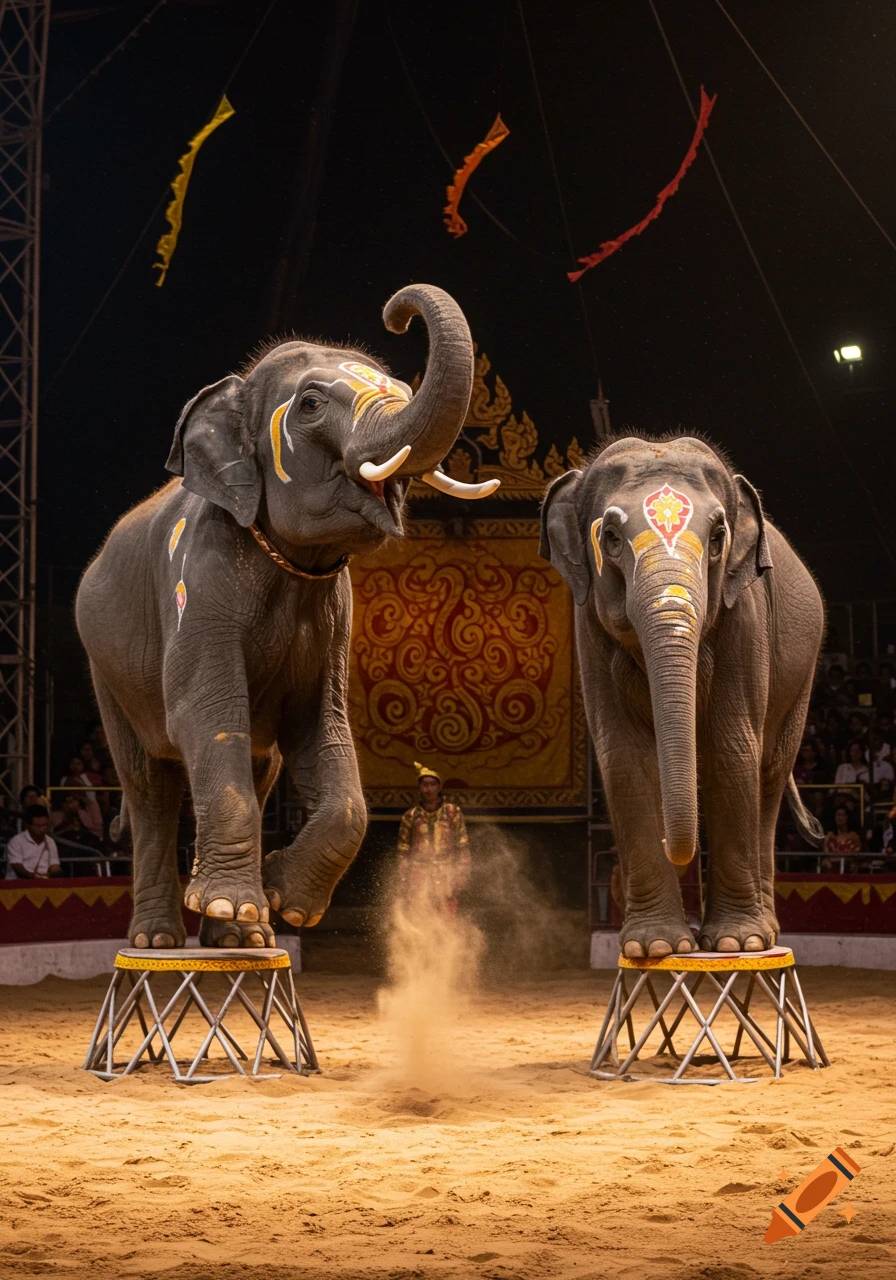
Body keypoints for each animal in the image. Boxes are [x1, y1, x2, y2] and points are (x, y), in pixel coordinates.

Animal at [76, 284, 498, 949]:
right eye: (311, 404)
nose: (396, 313)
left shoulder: (336, 615)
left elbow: (323, 734)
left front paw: (281, 902)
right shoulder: (199, 582)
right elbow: (205, 713)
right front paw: (240, 902)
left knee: (257, 765)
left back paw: (240, 939)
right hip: (106, 673)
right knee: (149, 785)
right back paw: (159, 942)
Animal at [540, 434, 824, 957]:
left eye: (717, 538)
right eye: (611, 538)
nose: (694, 932)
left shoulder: (745, 617)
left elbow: (733, 750)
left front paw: (734, 943)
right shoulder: (586, 627)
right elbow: (625, 757)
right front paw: (654, 947)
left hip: (803, 677)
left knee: (768, 774)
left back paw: (766, 933)